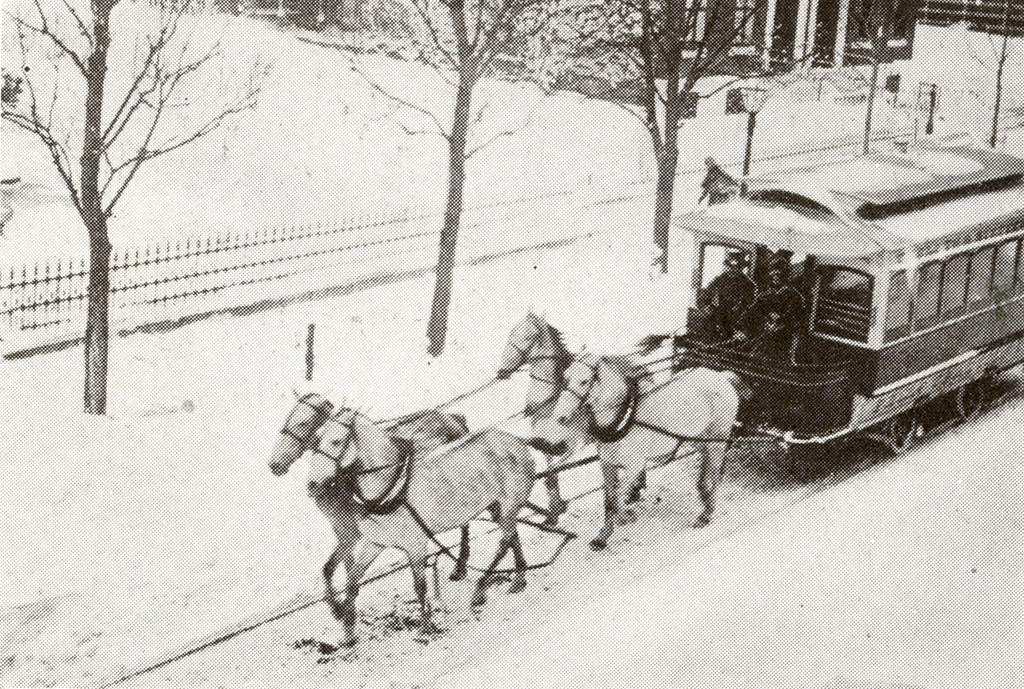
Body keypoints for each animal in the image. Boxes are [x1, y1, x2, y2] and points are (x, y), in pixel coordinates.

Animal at [532, 354, 741, 548]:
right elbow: (609, 500)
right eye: (565, 377)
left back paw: (707, 512)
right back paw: (704, 498)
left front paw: (625, 516)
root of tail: (721, 376)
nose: (560, 417)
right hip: (700, 440)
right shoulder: (607, 464)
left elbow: (618, 496)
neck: (624, 418)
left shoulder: (635, 465)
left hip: (717, 441)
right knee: (705, 468)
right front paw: (603, 536)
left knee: (715, 473)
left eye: (584, 381)